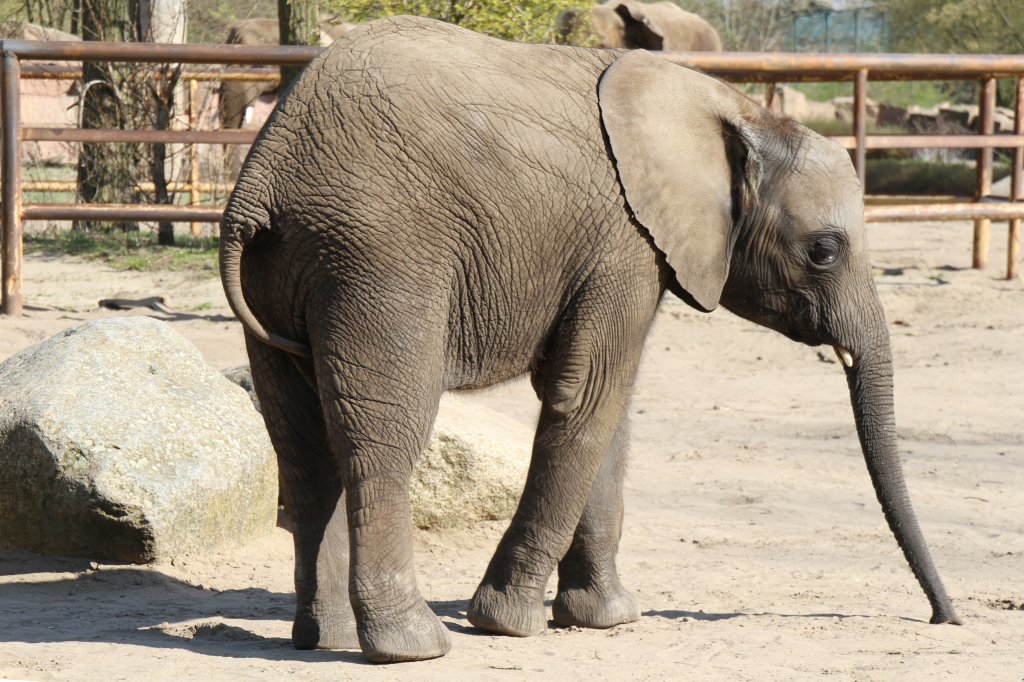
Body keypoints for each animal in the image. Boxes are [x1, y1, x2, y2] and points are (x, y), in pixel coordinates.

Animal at [218, 17, 958, 663]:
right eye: (824, 252)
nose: (944, 617)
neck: (732, 107)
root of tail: (263, 180)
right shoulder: (625, 241)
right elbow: (589, 395)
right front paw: (508, 623)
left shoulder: (624, 246)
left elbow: (607, 406)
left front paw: (606, 618)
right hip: (380, 256)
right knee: (383, 435)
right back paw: (411, 647)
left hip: (288, 271)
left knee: (302, 446)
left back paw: (324, 638)